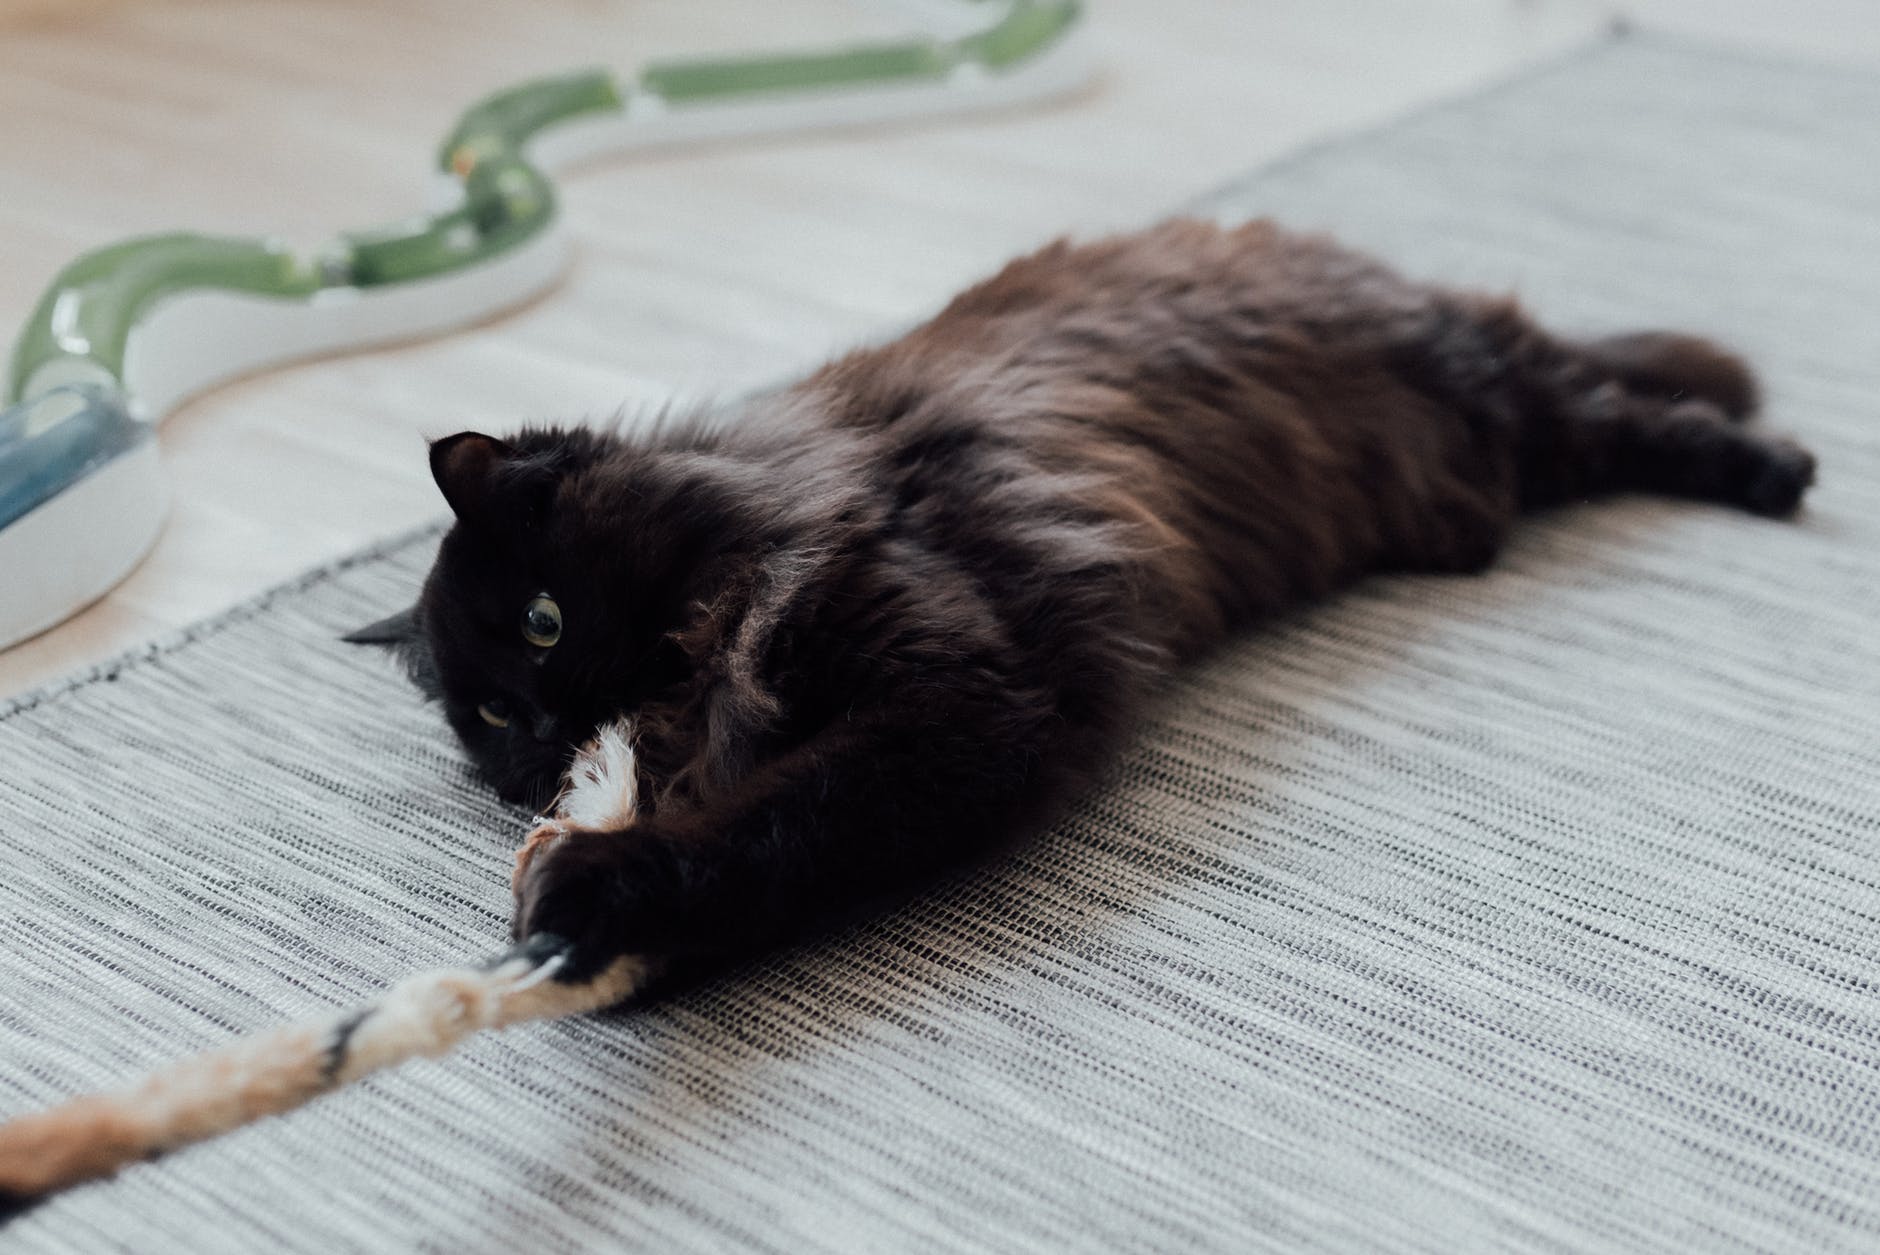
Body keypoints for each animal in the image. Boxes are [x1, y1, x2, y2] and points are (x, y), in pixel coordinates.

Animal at [345, 217, 1812, 976]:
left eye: (543, 622)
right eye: (486, 717)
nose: (542, 737)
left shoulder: (968, 693)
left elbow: (773, 827)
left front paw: (598, 895)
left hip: (1499, 390)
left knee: (1638, 401)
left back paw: (1772, 469)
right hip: (1496, 435)